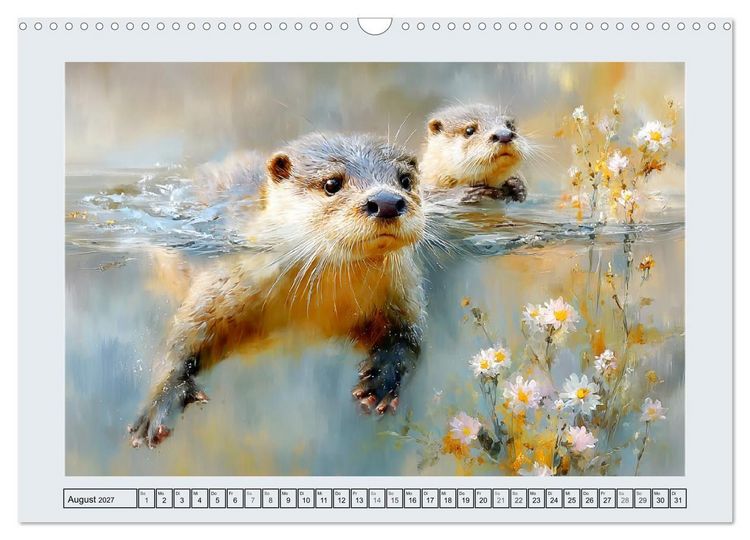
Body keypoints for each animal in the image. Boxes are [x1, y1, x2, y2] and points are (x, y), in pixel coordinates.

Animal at [129, 133, 426, 448]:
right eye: (332, 184)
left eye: (405, 180)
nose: (386, 201)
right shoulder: (226, 278)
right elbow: (185, 336)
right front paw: (160, 402)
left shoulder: (402, 290)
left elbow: (409, 338)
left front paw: (381, 379)